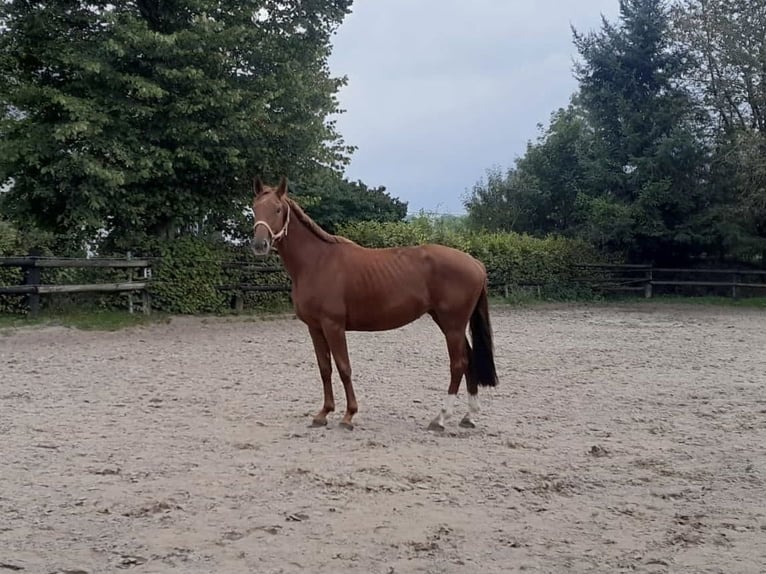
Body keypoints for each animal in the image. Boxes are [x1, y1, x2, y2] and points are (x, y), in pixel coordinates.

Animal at [254, 178, 498, 430]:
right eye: (254, 208)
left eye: (277, 209)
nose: (259, 244)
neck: (317, 262)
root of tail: (476, 263)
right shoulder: (315, 328)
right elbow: (325, 369)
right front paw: (323, 413)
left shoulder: (333, 325)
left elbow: (344, 368)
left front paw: (348, 415)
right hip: (448, 323)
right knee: (468, 359)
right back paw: (468, 416)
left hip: (453, 325)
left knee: (458, 363)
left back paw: (440, 418)